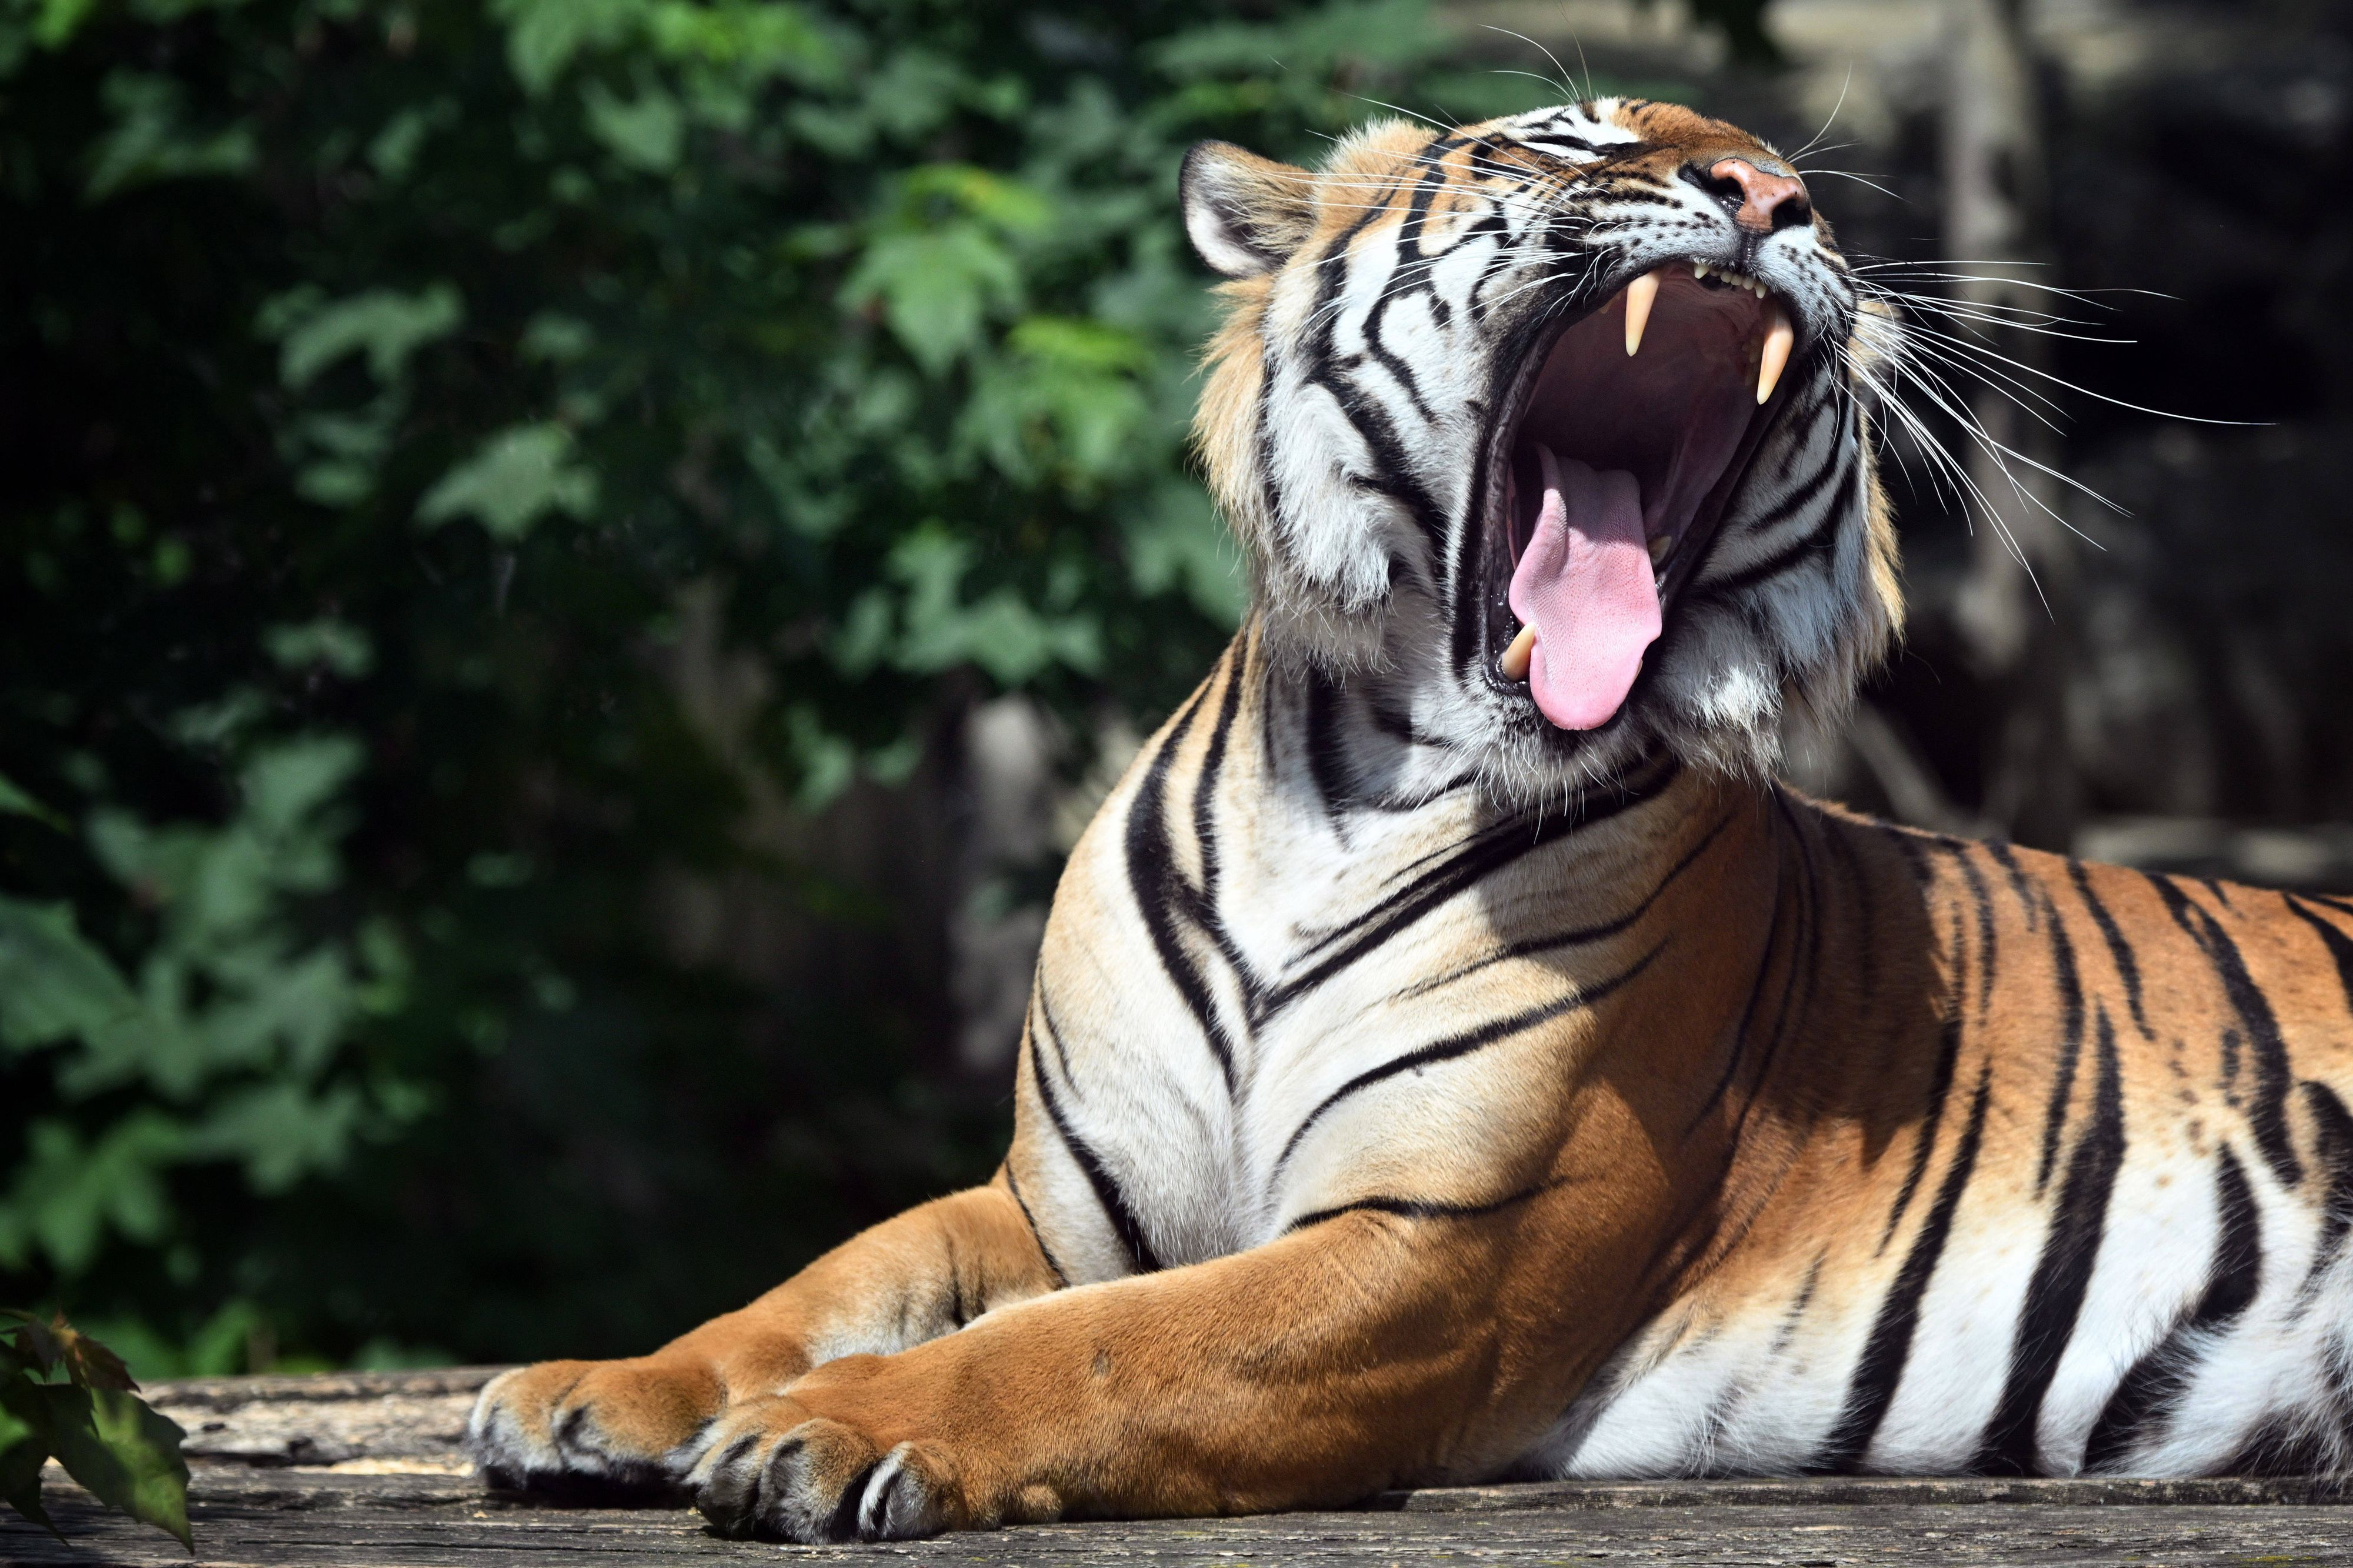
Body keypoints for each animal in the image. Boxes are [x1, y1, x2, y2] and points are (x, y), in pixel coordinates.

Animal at [465, 97, 2353, 1542]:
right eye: (1568, 138)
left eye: (1794, 184)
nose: (1770, 197)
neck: (1344, 790)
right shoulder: (1058, 1204)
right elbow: (826, 1276)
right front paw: (595, 1389)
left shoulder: (1436, 1247)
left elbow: (1091, 1350)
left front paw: (836, 1429)